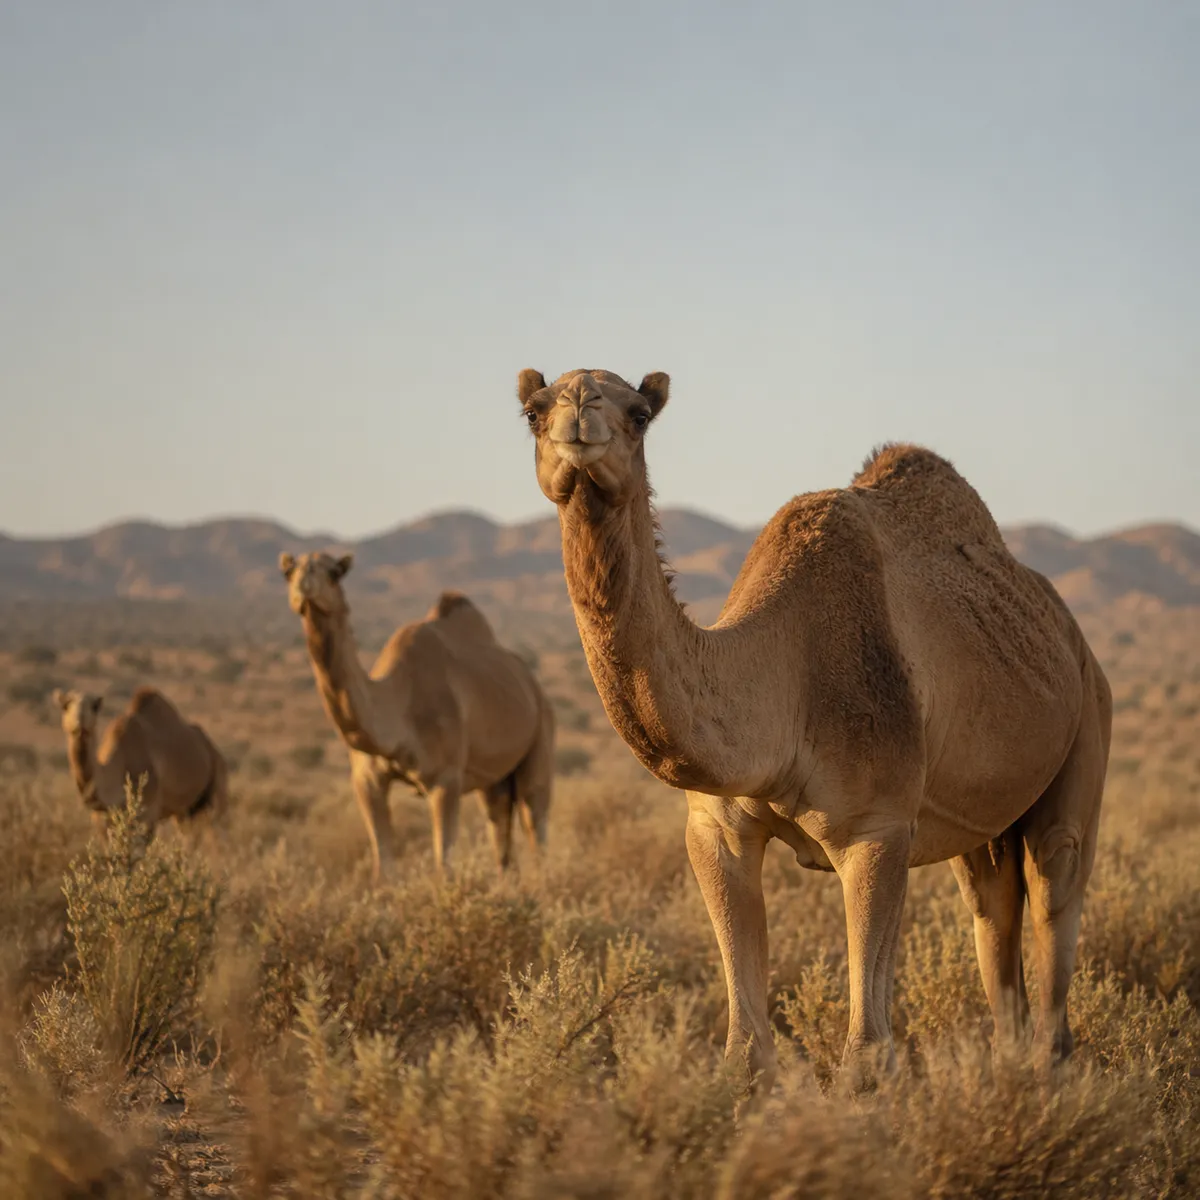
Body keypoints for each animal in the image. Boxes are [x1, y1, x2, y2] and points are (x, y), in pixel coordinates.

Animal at [52, 687, 229, 836]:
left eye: (95, 707)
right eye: (65, 705)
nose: (80, 722)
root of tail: (214, 749)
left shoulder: (148, 813)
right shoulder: (101, 818)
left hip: (216, 793)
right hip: (186, 812)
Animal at [279, 552, 555, 879]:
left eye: (335, 573)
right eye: (288, 572)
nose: (304, 587)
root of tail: (534, 685)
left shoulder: (445, 778)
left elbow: (442, 862)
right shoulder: (365, 780)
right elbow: (383, 863)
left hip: (541, 732)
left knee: (534, 814)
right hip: (494, 777)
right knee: (499, 819)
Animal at [516, 367, 1110, 1099]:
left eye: (638, 412)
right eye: (533, 410)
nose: (579, 407)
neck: (781, 679)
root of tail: (1071, 635)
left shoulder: (877, 827)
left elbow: (867, 1056)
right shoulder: (716, 829)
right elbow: (745, 1051)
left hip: (1089, 719)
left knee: (1057, 871)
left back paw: (1047, 1070)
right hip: (982, 814)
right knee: (993, 897)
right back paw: (1007, 1069)